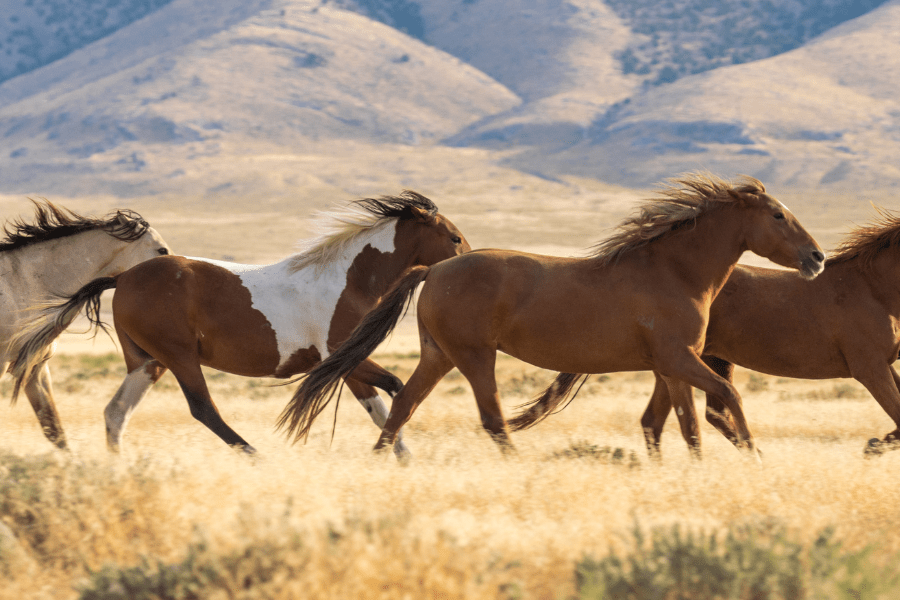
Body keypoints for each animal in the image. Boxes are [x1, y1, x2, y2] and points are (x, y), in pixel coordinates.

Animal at [280, 173, 824, 457]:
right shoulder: (680, 360)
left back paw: (385, 463)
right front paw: (753, 457)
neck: (674, 272)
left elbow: (680, 423)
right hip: (474, 357)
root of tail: (433, 270)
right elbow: (724, 398)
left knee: (403, 406)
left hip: (439, 356)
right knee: (492, 419)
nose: (816, 259)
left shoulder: (670, 367)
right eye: (778, 215)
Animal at [637, 207, 900, 458]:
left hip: (695, 363)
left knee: (668, 419)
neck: (872, 289)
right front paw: (871, 447)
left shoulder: (884, 364)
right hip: (688, 363)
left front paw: (873, 445)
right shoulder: (870, 369)